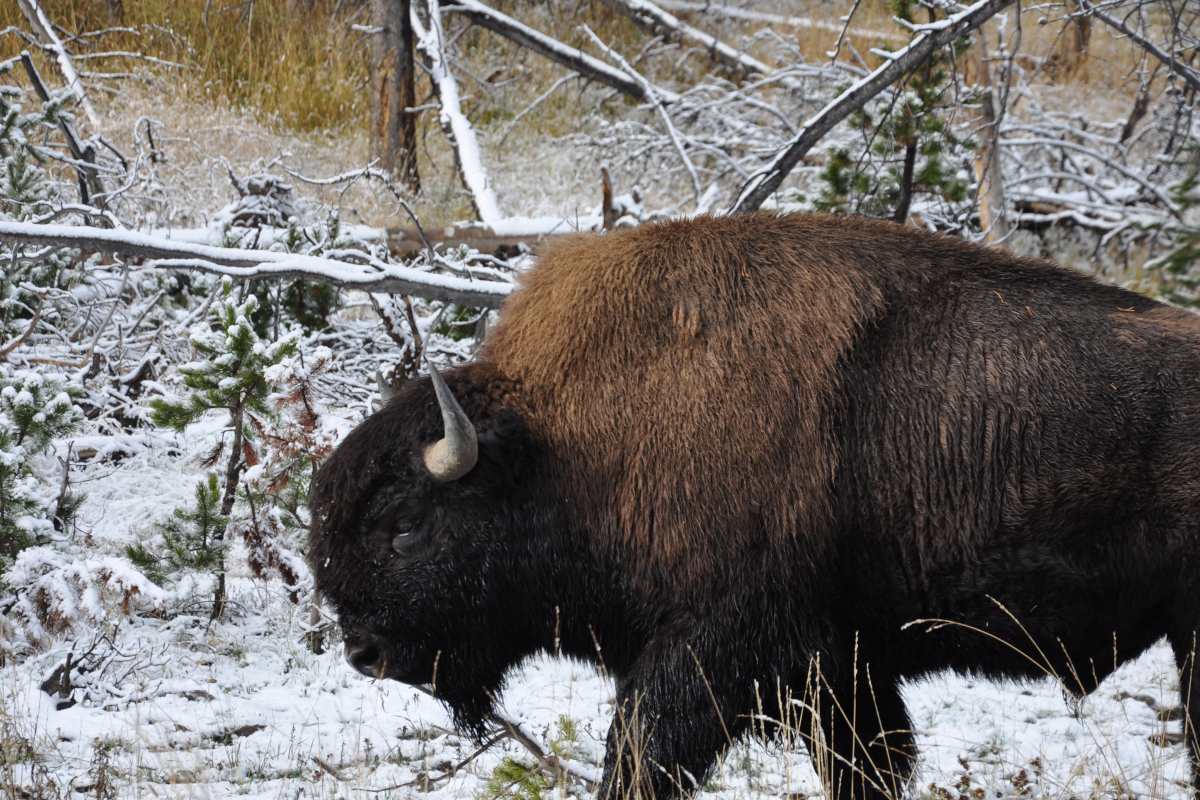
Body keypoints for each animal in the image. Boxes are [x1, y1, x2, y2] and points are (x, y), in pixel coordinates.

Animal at [302, 215, 1200, 800]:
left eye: (405, 528)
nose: (365, 652)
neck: (564, 442)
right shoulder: (844, 668)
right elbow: (869, 766)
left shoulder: (712, 646)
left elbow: (638, 757)